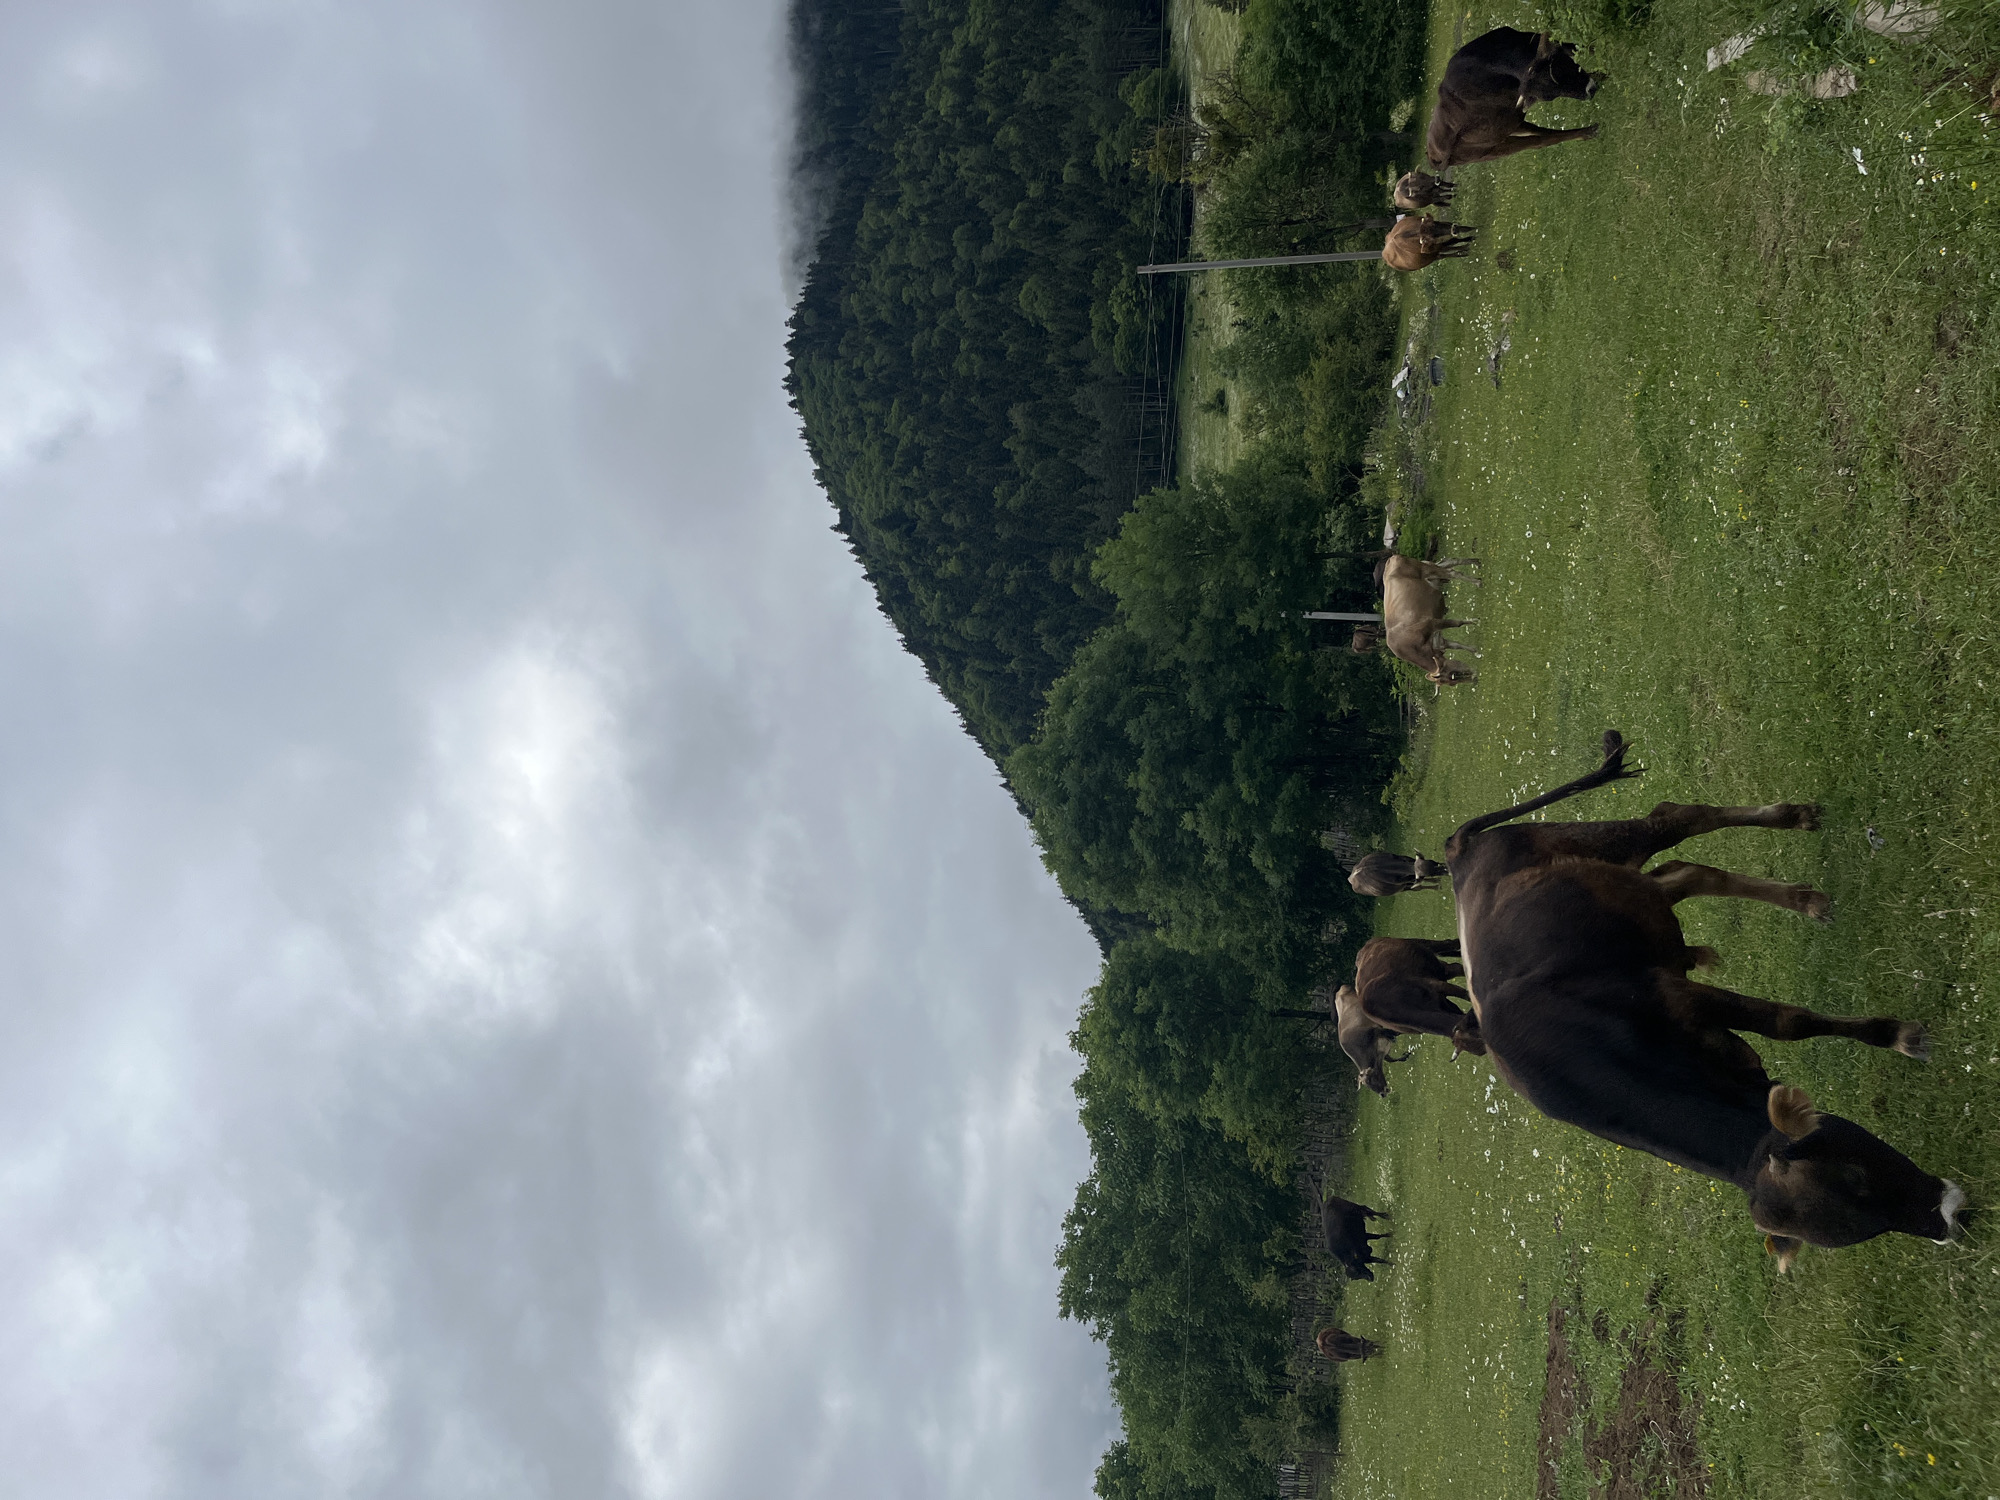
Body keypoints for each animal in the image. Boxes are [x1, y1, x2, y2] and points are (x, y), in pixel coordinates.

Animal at [1351, 554, 1480, 685]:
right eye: (1453, 678)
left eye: (1454, 675)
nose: (1474, 678)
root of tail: (1391, 559)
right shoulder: (1438, 641)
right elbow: (1456, 645)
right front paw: (1475, 651)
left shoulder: (1433, 623)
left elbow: (1457, 624)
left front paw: (1476, 621)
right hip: (1431, 570)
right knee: (1449, 562)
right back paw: (1476, 562)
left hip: (1427, 569)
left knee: (1452, 572)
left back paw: (1477, 582)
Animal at [1427, 28, 1604, 169]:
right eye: (1549, 97)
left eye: (1563, 64)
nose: (1591, 90)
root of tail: (1432, 154)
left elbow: (1576, 47)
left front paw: (1601, 70)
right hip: (1494, 149)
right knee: (1541, 141)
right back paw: (1586, 132)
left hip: (1512, 125)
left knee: (1539, 131)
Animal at [1444, 730, 1965, 1269]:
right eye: (1860, 1196)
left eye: (1857, 1176)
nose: (1949, 1217)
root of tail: (1458, 851)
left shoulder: (1677, 995)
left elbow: (1787, 1022)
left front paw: (1896, 1035)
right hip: (1626, 884)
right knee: (1684, 873)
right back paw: (1802, 899)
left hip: (1599, 841)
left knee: (1676, 818)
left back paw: (1791, 818)